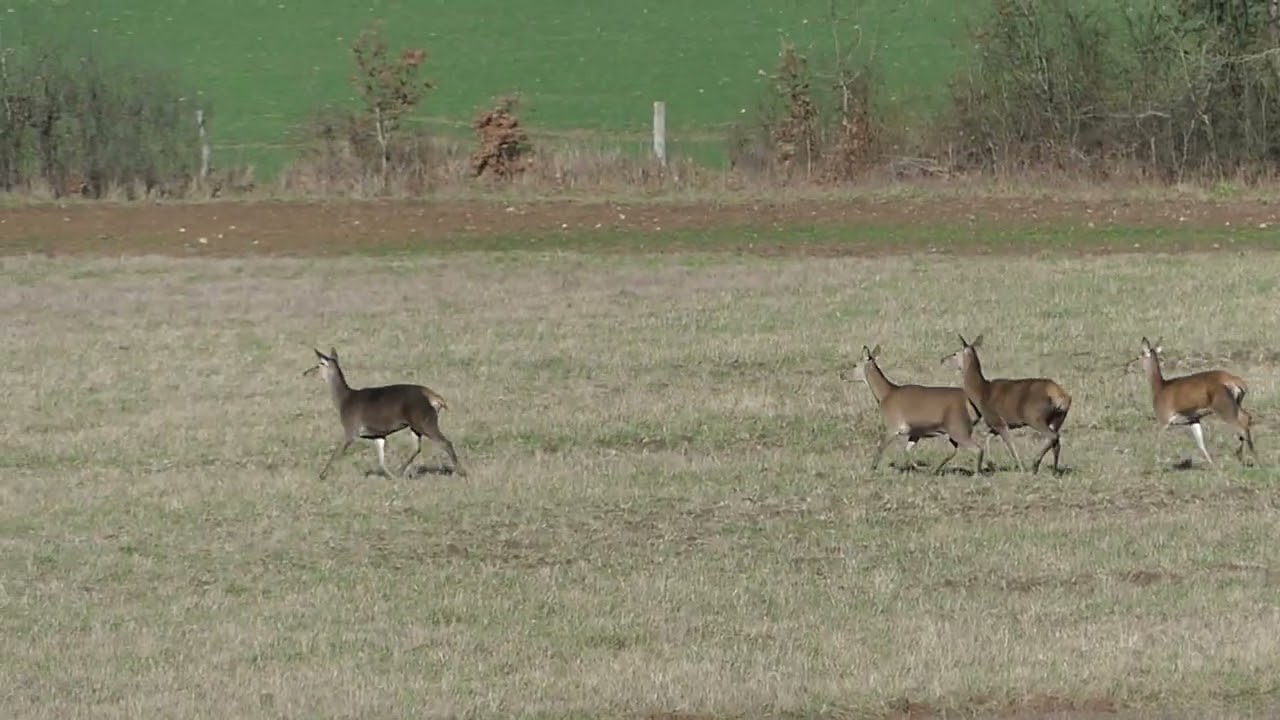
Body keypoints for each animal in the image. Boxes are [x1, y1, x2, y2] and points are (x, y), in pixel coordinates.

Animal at [304, 348, 466, 479]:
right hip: (415, 424)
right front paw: (391, 477)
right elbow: (381, 461)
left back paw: (461, 472)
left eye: (319, 364)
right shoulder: (378, 434)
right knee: (417, 447)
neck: (343, 401)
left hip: (424, 419)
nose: (305, 373)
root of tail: (435, 398)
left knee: (445, 442)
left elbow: (337, 452)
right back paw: (400, 472)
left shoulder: (351, 427)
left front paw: (322, 475)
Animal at [857, 344, 985, 475]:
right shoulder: (915, 432)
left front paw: (872, 468)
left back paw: (976, 473)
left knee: (978, 449)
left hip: (959, 429)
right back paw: (934, 469)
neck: (885, 394)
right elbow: (907, 450)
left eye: (854, 364)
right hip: (954, 431)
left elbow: (880, 446)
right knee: (953, 451)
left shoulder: (892, 426)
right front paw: (918, 467)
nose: (845, 374)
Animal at [941, 334, 1072, 474]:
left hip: (1034, 416)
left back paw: (1034, 465)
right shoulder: (995, 424)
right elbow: (987, 438)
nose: (942, 359)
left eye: (955, 353)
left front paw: (1021, 468)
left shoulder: (997, 420)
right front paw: (991, 463)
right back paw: (1054, 471)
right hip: (1058, 419)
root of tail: (1062, 397)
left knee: (1053, 436)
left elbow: (1010, 445)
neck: (981, 393)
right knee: (1056, 443)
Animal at [1135, 337, 1256, 467]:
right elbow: (1200, 442)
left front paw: (1153, 463)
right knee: (1246, 418)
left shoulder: (1164, 419)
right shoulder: (1193, 418)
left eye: (1139, 355)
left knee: (1241, 427)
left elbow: (1157, 440)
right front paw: (1212, 464)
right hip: (1236, 404)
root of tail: (1237, 382)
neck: (1160, 388)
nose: (1129, 363)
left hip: (1224, 407)